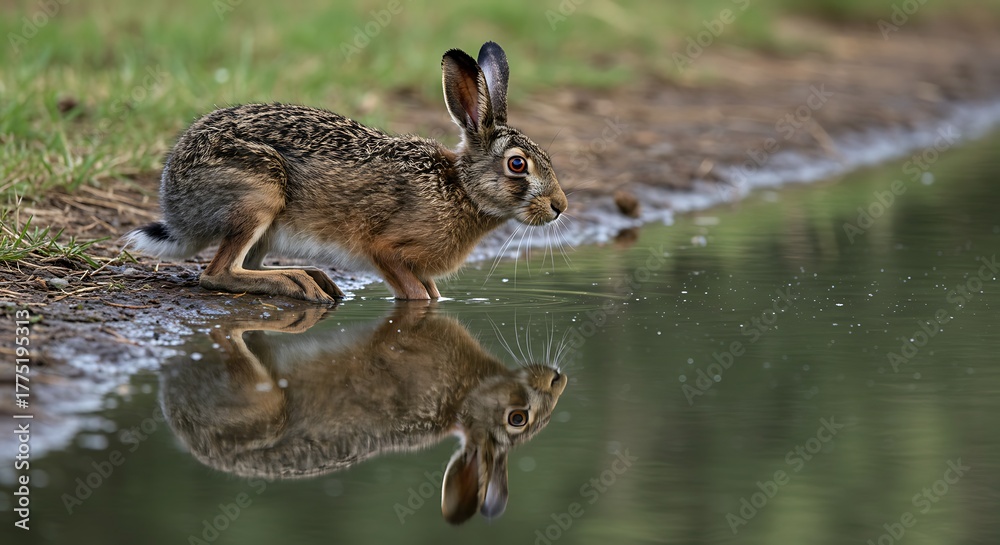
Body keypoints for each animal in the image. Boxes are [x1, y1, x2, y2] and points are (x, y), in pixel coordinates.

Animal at [122, 42, 568, 302]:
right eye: (517, 164)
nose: (560, 206)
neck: (461, 189)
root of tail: (175, 204)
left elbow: (432, 293)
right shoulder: (385, 250)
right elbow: (416, 295)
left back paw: (312, 277)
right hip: (258, 192)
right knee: (218, 274)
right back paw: (298, 283)